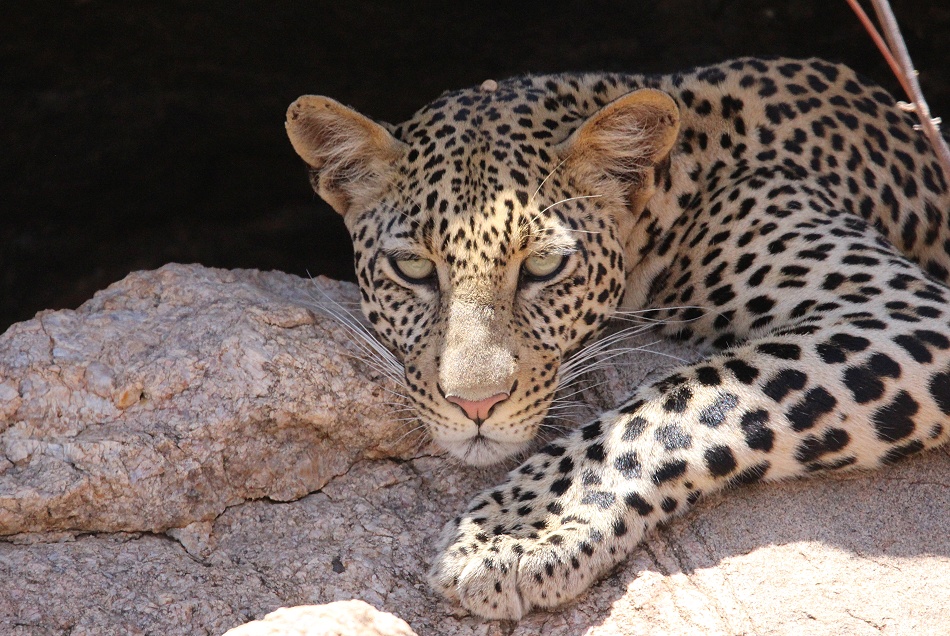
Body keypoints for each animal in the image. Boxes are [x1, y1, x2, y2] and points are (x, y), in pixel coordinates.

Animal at [285, 57, 950, 620]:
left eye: (544, 266)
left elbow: (675, 403)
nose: (476, 405)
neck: (678, 187)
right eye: (413, 269)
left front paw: (513, 538)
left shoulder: (898, 309)